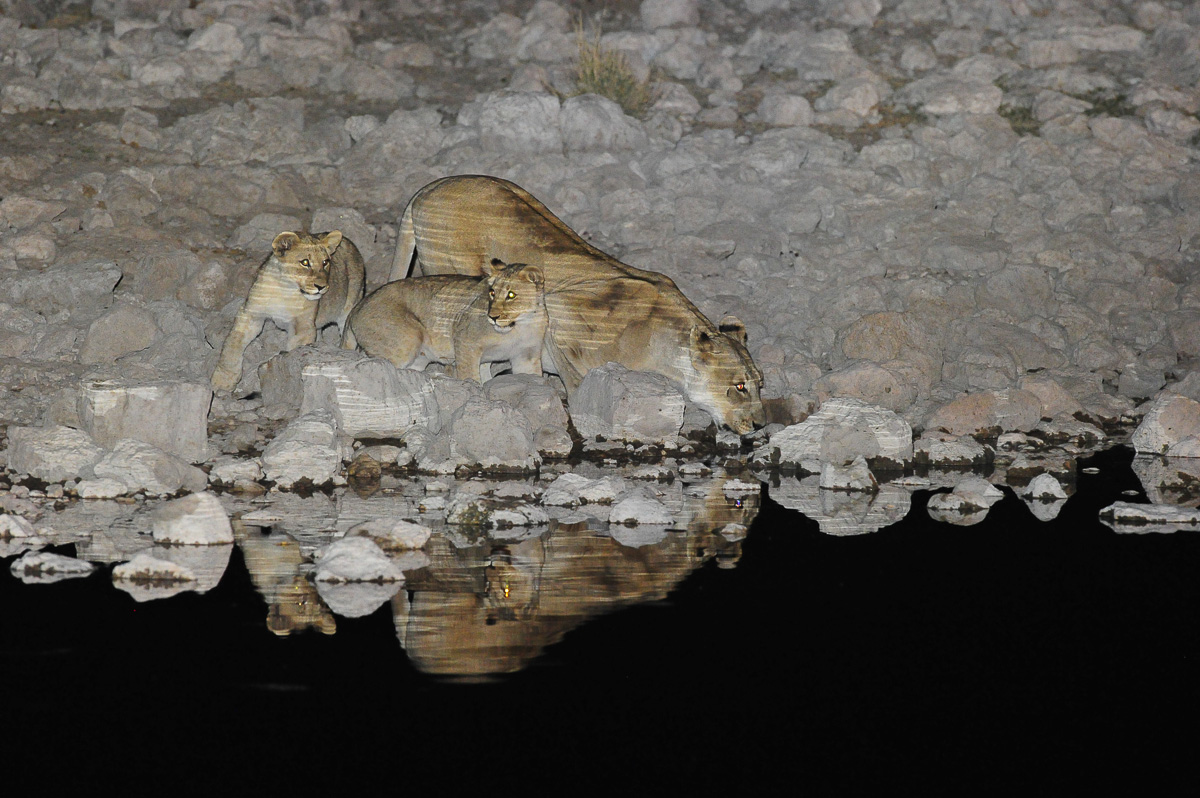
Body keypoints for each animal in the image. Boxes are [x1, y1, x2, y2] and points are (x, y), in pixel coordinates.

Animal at [211, 230, 366, 393]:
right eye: (305, 262)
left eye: (325, 262)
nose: (321, 287)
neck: (285, 290)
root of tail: (350, 242)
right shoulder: (250, 314)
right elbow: (231, 345)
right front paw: (222, 382)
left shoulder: (303, 327)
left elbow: (294, 351)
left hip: (350, 305)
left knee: (348, 339)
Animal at [341, 259, 548, 383]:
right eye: (491, 292)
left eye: (511, 295)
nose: (493, 317)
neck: (521, 326)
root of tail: (357, 306)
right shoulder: (466, 342)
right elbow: (470, 376)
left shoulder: (526, 356)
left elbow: (533, 379)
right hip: (409, 338)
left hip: (419, 358)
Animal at [387, 175, 764, 434]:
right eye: (739, 386)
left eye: (760, 383)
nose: (761, 425)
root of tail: (429, 187)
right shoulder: (559, 311)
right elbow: (574, 378)